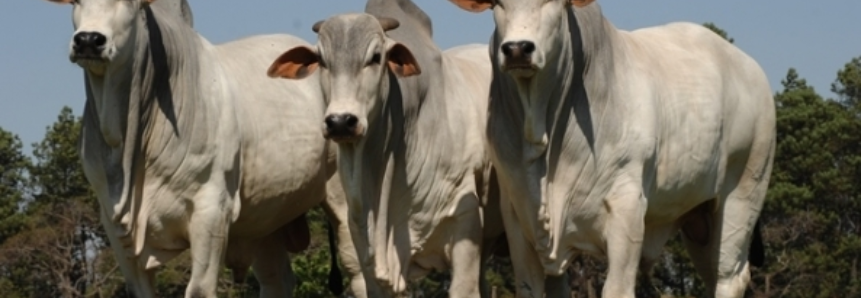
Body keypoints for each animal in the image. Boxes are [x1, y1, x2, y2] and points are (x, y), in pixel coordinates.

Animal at [42, 0, 360, 296]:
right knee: (276, 279)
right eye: (75, 2)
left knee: (356, 268)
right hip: (266, 216)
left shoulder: (211, 209)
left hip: (341, 196)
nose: (88, 40)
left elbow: (198, 289)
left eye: (130, 3)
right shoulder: (114, 223)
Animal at [450, 0, 772, 298]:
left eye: (553, 3)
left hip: (743, 194)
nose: (517, 49)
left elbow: (617, 289)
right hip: (700, 219)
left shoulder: (626, 211)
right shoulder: (517, 217)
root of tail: (750, 68)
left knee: (729, 277)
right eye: (497, 4)